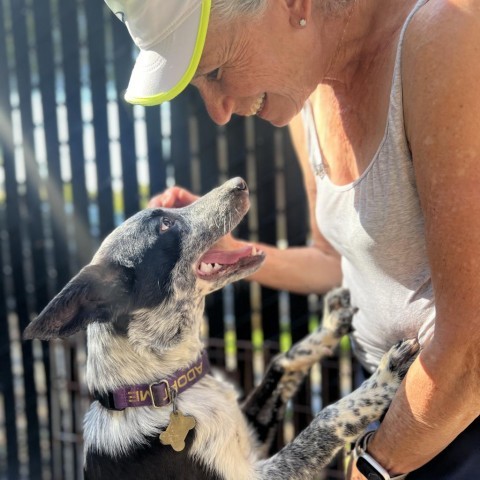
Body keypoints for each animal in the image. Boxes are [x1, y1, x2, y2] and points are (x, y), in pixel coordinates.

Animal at [24, 178, 418, 478]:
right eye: (164, 225)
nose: (240, 183)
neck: (164, 387)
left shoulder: (253, 436)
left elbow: (283, 361)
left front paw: (328, 325)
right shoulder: (262, 473)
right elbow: (324, 420)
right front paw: (380, 384)